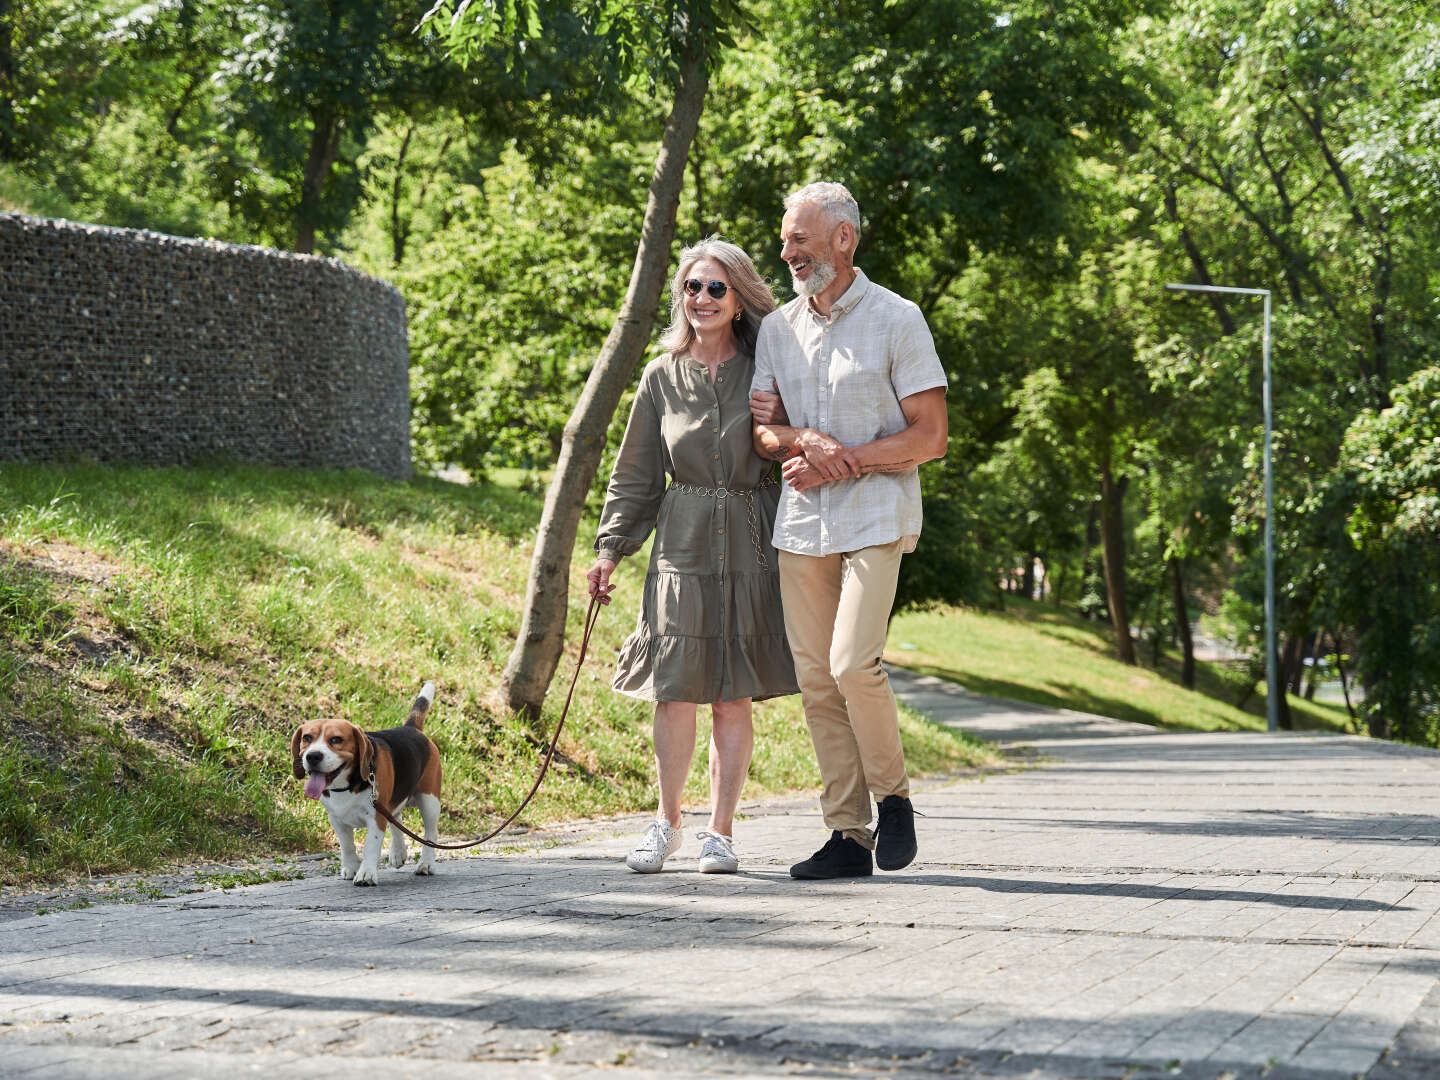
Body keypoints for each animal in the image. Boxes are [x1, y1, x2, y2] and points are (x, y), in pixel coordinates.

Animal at [289, 685, 440, 887]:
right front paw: (351, 867)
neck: (346, 786)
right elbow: (347, 845)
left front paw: (366, 874)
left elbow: (370, 847)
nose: (313, 756)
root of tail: (410, 728)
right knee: (396, 819)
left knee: (431, 834)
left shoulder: (375, 817)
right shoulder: (336, 818)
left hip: (429, 801)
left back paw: (426, 864)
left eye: (336, 740)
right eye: (307, 738)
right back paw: (398, 852)